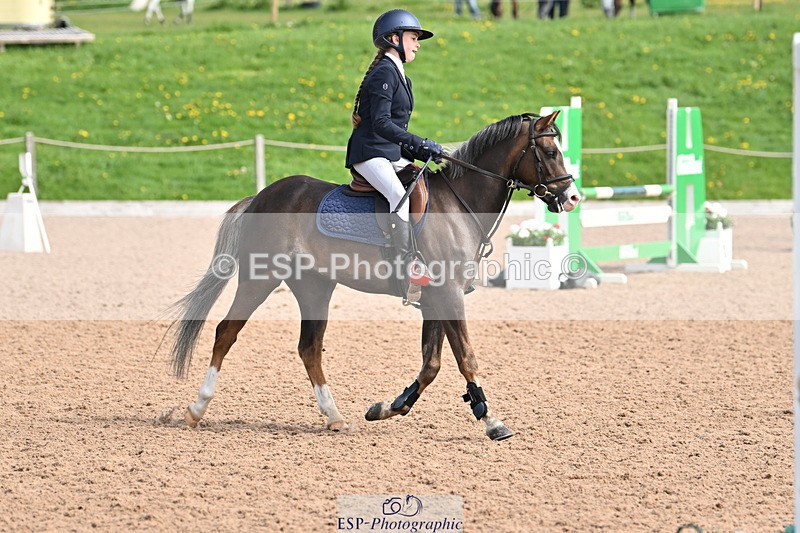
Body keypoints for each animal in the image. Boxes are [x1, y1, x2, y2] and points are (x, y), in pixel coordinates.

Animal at [166, 110, 581, 441]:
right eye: (550, 152)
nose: (572, 198)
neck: (459, 206)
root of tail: (262, 196)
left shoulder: (435, 297)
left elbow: (431, 364)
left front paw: (388, 407)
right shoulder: (448, 295)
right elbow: (465, 357)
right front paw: (491, 420)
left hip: (315, 287)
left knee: (309, 348)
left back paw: (334, 416)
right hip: (261, 278)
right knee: (226, 332)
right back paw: (196, 409)